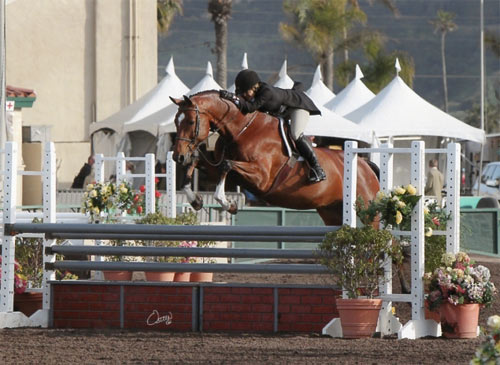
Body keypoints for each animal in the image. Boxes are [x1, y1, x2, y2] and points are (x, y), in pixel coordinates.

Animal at [171, 90, 378, 225]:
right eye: (175, 121)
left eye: (190, 121)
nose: (177, 157)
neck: (241, 130)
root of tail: (365, 165)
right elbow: (198, 163)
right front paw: (195, 200)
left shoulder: (262, 179)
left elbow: (226, 165)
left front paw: (227, 203)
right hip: (331, 211)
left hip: (367, 210)